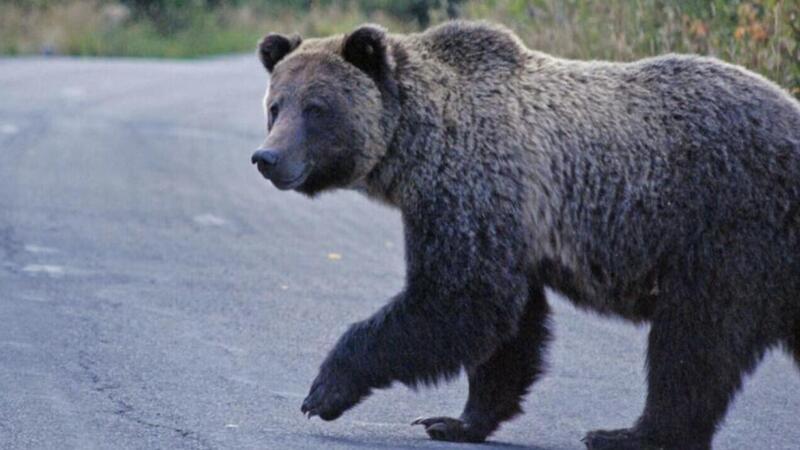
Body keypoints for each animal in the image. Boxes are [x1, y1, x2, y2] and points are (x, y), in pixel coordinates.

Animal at [250, 19, 800, 448]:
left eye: (316, 108)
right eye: (276, 105)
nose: (268, 157)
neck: (418, 146)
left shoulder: (474, 186)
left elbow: (459, 297)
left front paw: (325, 389)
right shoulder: (511, 226)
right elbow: (509, 329)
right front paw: (456, 420)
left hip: (727, 226)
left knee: (694, 339)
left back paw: (630, 433)